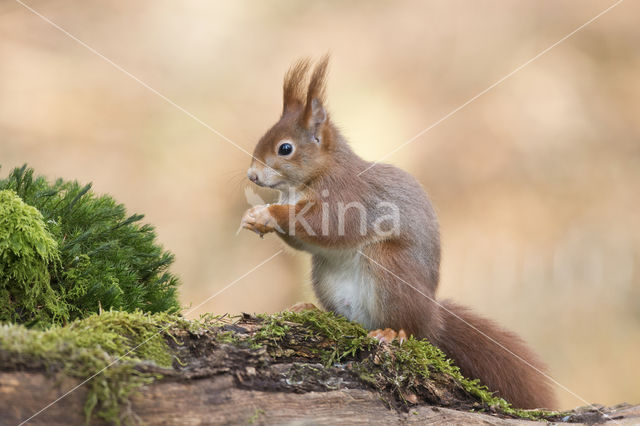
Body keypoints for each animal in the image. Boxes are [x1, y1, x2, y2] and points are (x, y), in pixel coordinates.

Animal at [240, 57, 556, 410]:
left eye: (285, 148)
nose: (252, 175)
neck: (310, 179)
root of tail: (433, 320)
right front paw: (255, 217)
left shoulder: (348, 199)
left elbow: (325, 225)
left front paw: (266, 214)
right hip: (325, 278)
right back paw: (311, 310)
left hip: (390, 267)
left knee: (409, 328)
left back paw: (393, 333)